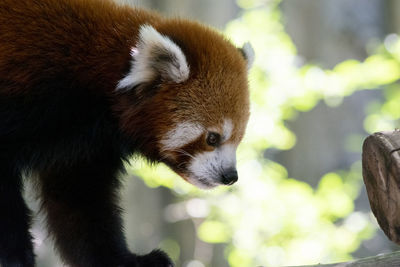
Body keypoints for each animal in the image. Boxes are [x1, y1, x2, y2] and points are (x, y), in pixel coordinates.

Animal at [0, 0, 255, 267]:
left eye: (238, 139)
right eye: (212, 138)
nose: (230, 176)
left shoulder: (83, 147)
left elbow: (82, 201)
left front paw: (122, 259)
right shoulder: (34, 98)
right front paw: (16, 256)